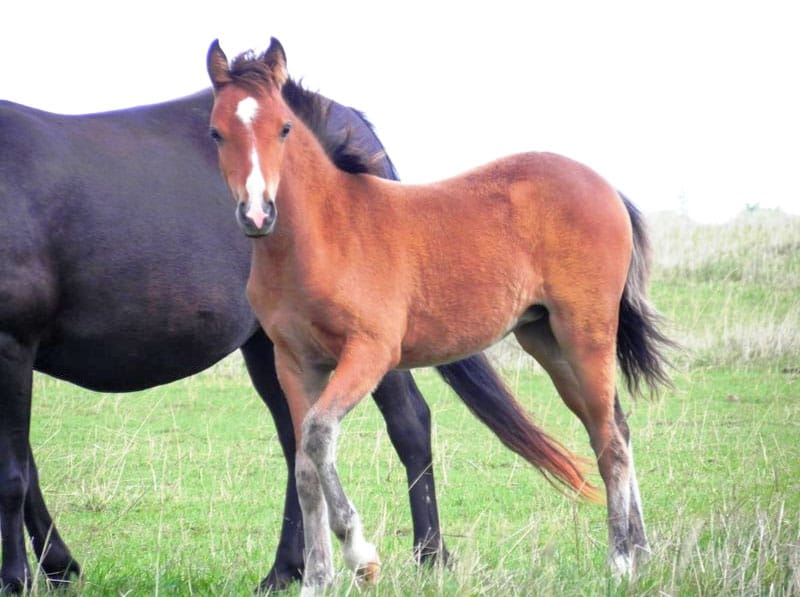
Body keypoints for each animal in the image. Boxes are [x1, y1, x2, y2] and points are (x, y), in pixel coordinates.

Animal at [0, 70, 525, 593]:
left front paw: (18, 577)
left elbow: (12, 474)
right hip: (276, 346)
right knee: (300, 444)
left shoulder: (12, 345)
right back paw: (286, 570)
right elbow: (27, 468)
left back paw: (430, 555)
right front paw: (58, 567)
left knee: (408, 423)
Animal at [207, 38, 674, 593]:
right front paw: (317, 579)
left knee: (610, 441)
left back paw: (620, 560)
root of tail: (605, 186)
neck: (324, 235)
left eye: (283, 128)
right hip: (546, 339)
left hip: (586, 332)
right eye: (216, 132)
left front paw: (361, 556)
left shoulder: (370, 352)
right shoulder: (295, 362)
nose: (257, 213)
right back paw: (642, 553)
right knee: (616, 426)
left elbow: (319, 436)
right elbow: (304, 464)